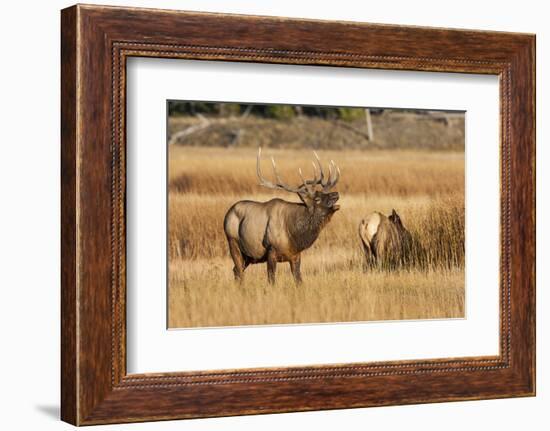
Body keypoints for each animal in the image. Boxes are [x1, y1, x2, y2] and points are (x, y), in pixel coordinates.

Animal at [224, 149, 340, 286]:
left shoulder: (295, 255)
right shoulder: (271, 251)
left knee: (236, 270)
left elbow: (299, 280)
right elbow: (271, 280)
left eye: (322, 193)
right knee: (238, 270)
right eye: (317, 199)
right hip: (233, 242)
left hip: (248, 256)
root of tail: (227, 215)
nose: (335, 194)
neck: (294, 235)